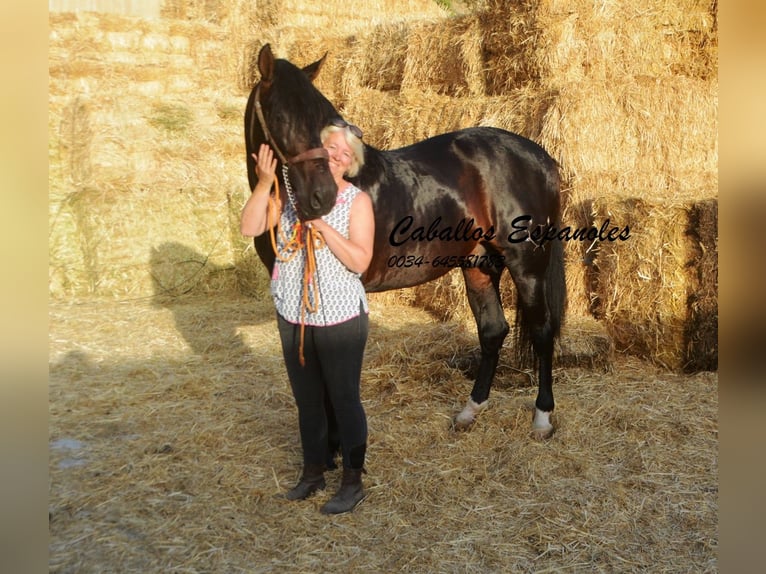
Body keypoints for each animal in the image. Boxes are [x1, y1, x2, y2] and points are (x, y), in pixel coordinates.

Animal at [246, 46, 568, 440]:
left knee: (542, 331)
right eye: (279, 116)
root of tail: (542, 157)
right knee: (493, 331)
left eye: (322, 121)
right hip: (479, 264)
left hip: (527, 265)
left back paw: (542, 417)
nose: (322, 197)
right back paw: (470, 411)